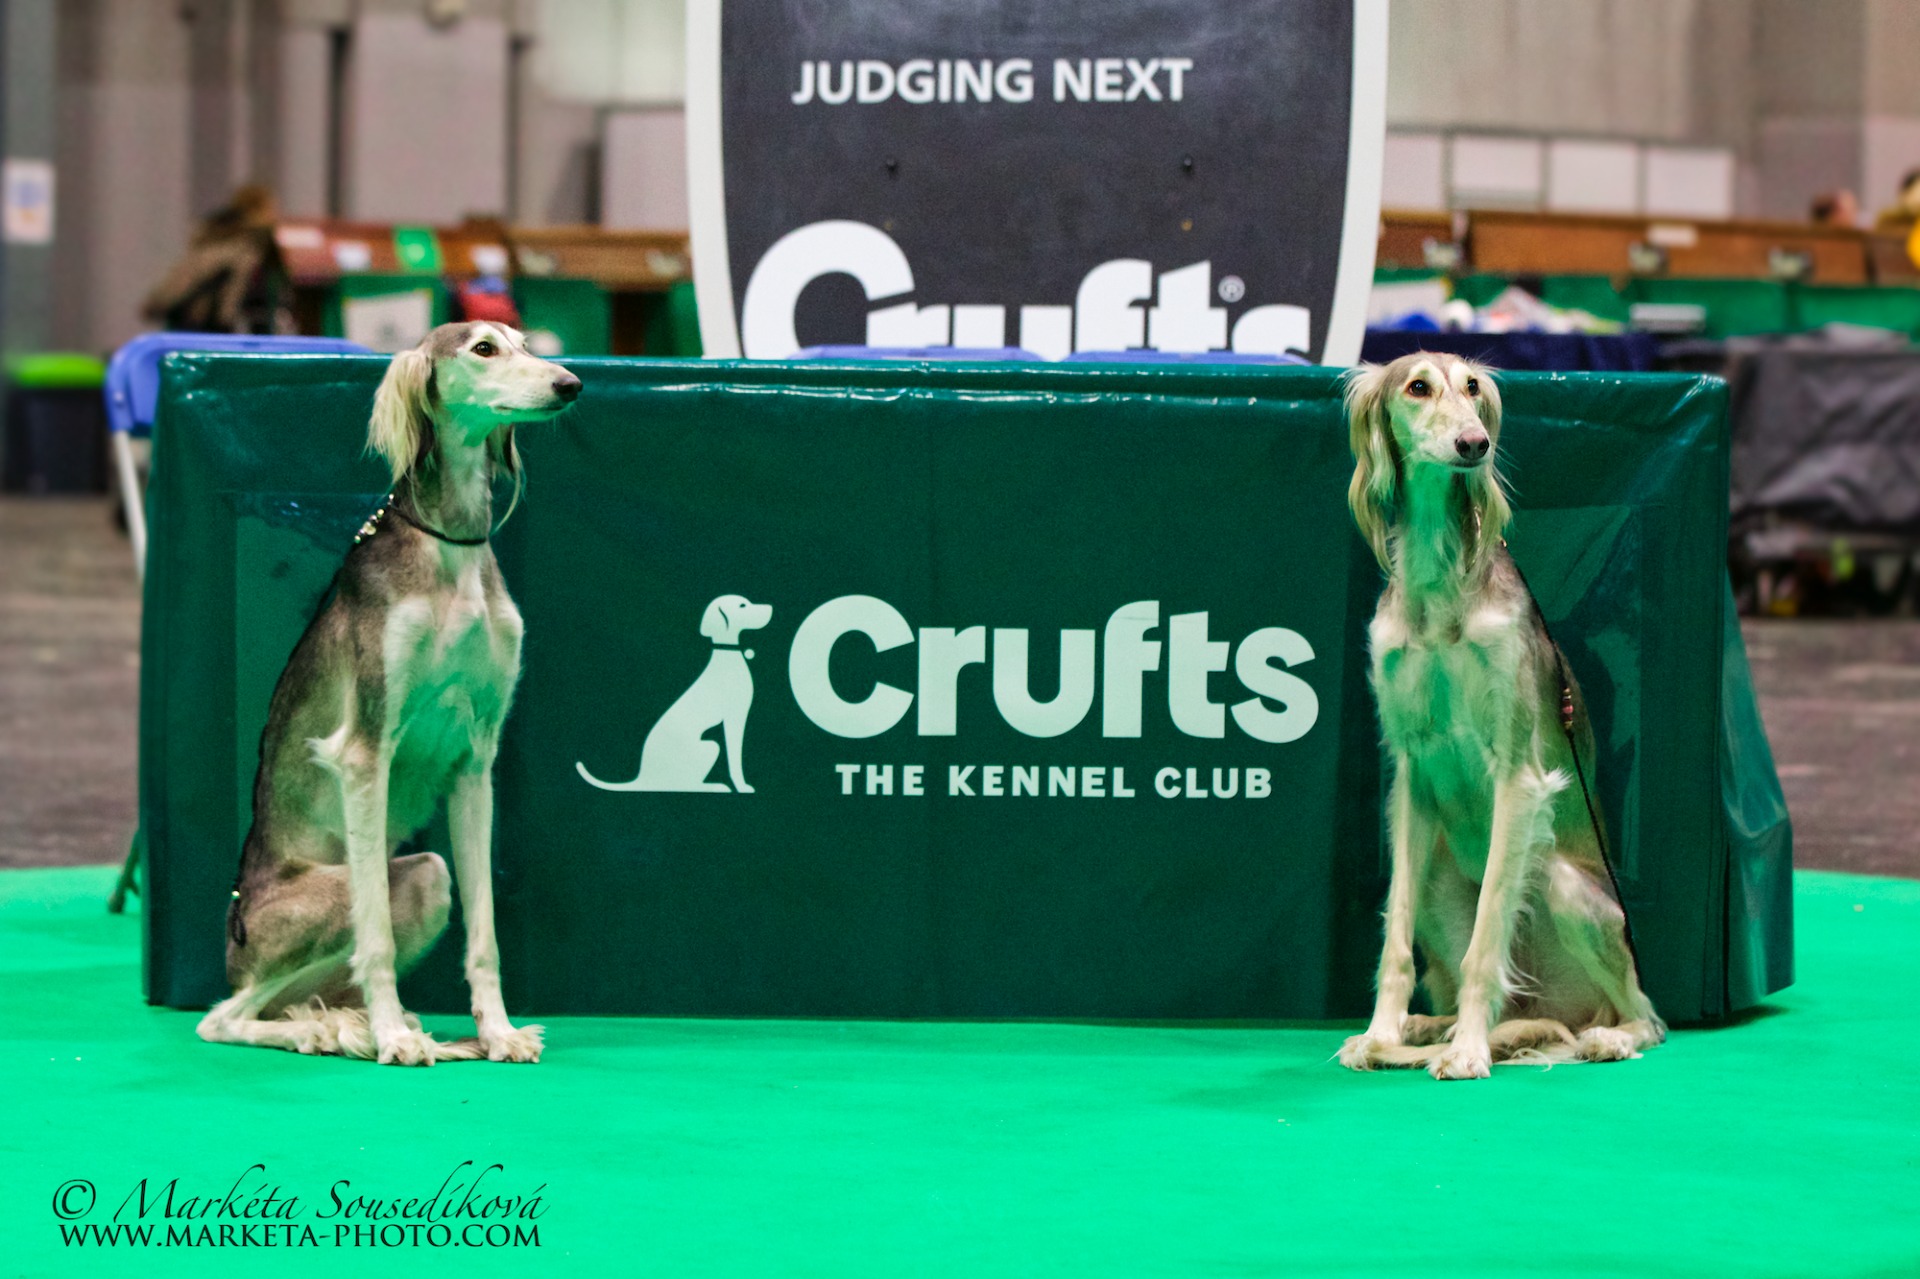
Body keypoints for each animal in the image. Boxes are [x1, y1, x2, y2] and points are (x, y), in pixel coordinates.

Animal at [197, 322, 580, 1066]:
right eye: (484, 349)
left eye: (524, 341)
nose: (569, 385)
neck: (450, 549)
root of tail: (235, 938)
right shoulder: (365, 751)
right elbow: (372, 931)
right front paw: (395, 1039)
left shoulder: (475, 759)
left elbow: (485, 932)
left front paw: (497, 1031)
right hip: (318, 910)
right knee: (224, 1017)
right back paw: (343, 1030)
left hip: (427, 877)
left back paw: (365, 1028)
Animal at [577, 595, 771, 793]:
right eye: (742, 605)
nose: (771, 608)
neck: (727, 654)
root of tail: (642, 778)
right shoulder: (735, 717)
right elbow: (734, 758)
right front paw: (742, 786)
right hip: (709, 747)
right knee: (686, 783)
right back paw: (716, 786)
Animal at [1337, 351, 1664, 1080]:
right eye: (1418, 387)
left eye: (1473, 389)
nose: (1474, 444)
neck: (1440, 589)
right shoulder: (1412, 775)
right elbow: (1395, 936)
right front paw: (1380, 1032)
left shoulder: (1519, 775)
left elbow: (1485, 941)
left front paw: (1467, 1050)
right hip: (1439, 877)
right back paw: (1439, 1027)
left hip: (1567, 886)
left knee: (1648, 1017)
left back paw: (1593, 1037)